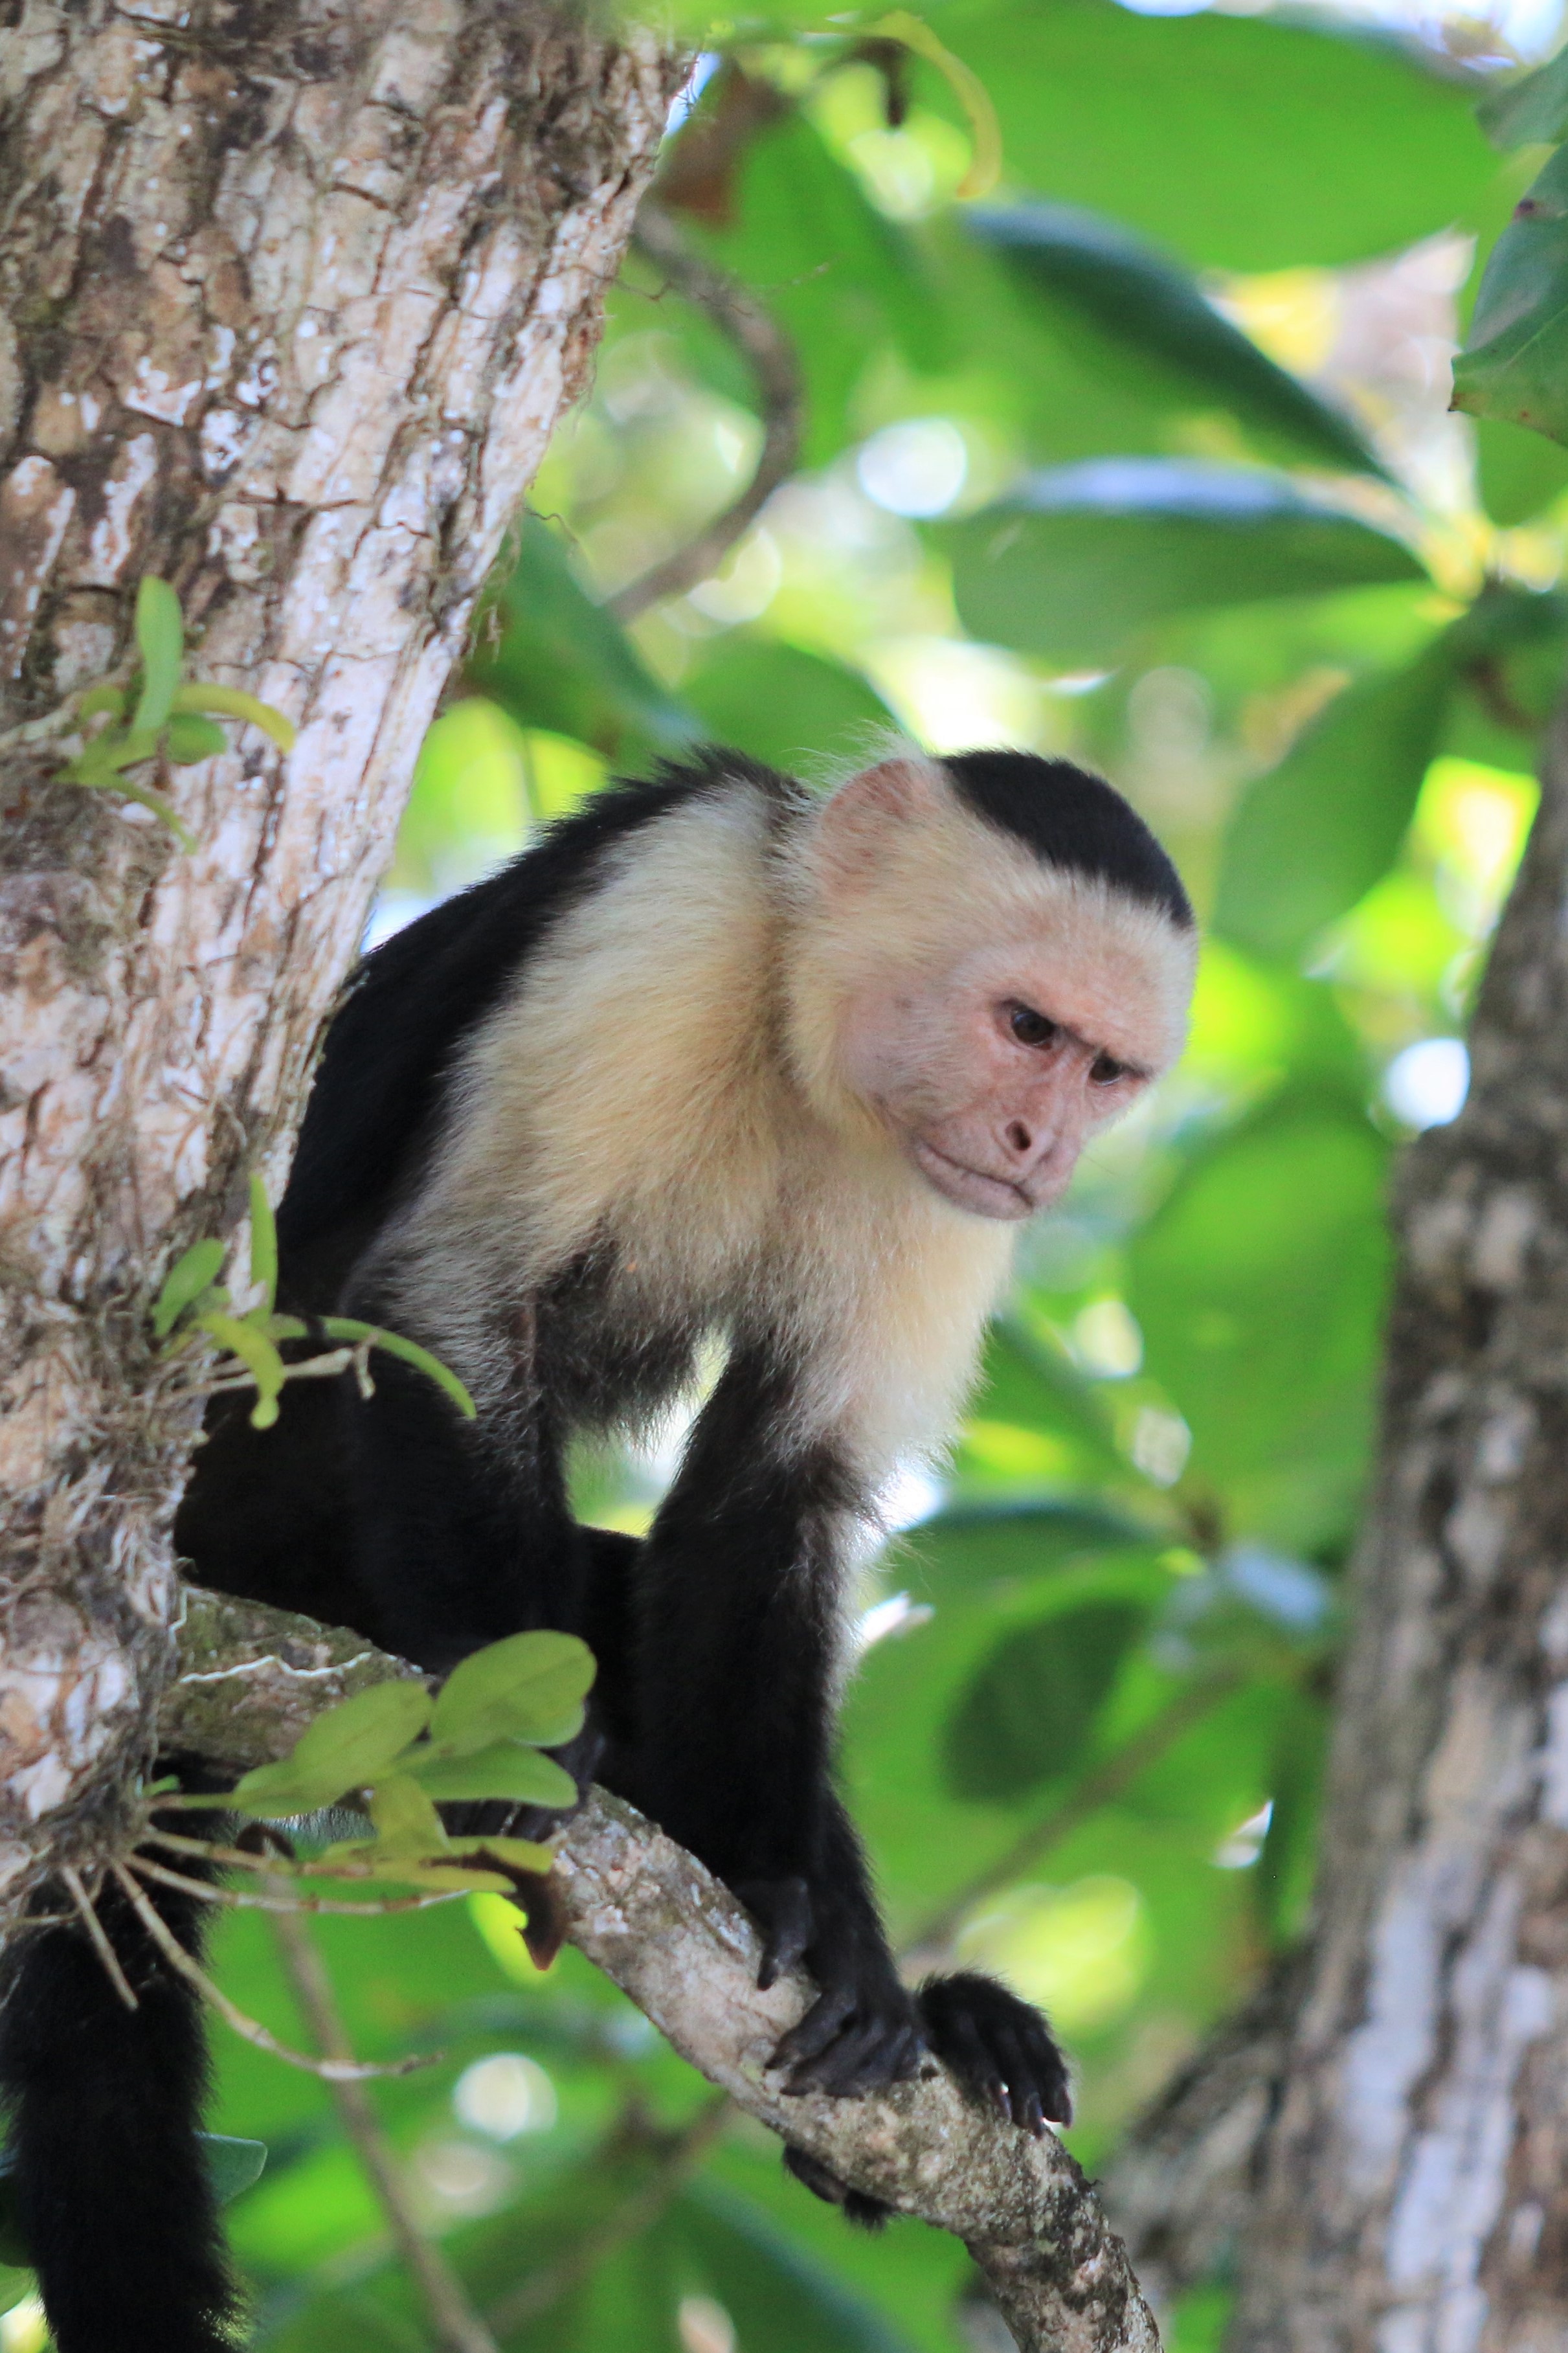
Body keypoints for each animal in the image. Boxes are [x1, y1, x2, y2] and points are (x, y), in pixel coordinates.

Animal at [0, 739, 1191, 2353]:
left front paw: (794, 1902)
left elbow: (772, 1496)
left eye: (1104, 1070)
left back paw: (924, 2010)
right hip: (253, 1523)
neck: (795, 1039)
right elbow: (455, 1297)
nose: (1040, 1146)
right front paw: (514, 1737)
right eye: (1025, 1026)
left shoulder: (934, 1191)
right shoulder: (669, 904)